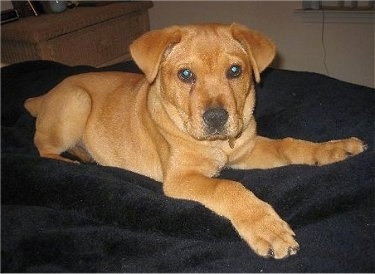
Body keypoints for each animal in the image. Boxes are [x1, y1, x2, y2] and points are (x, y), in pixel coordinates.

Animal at [25, 23, 366, 260]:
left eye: (235, 70)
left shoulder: (247, 148)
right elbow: (228, 186)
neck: (218, 145)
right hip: (77, 100)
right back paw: (78, 163)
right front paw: (267, 229)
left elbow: (289, 144)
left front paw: (334, 148)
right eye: (186, 74)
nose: (216, 118)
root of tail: (42, 97)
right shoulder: (180, 178)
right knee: (43, 149)